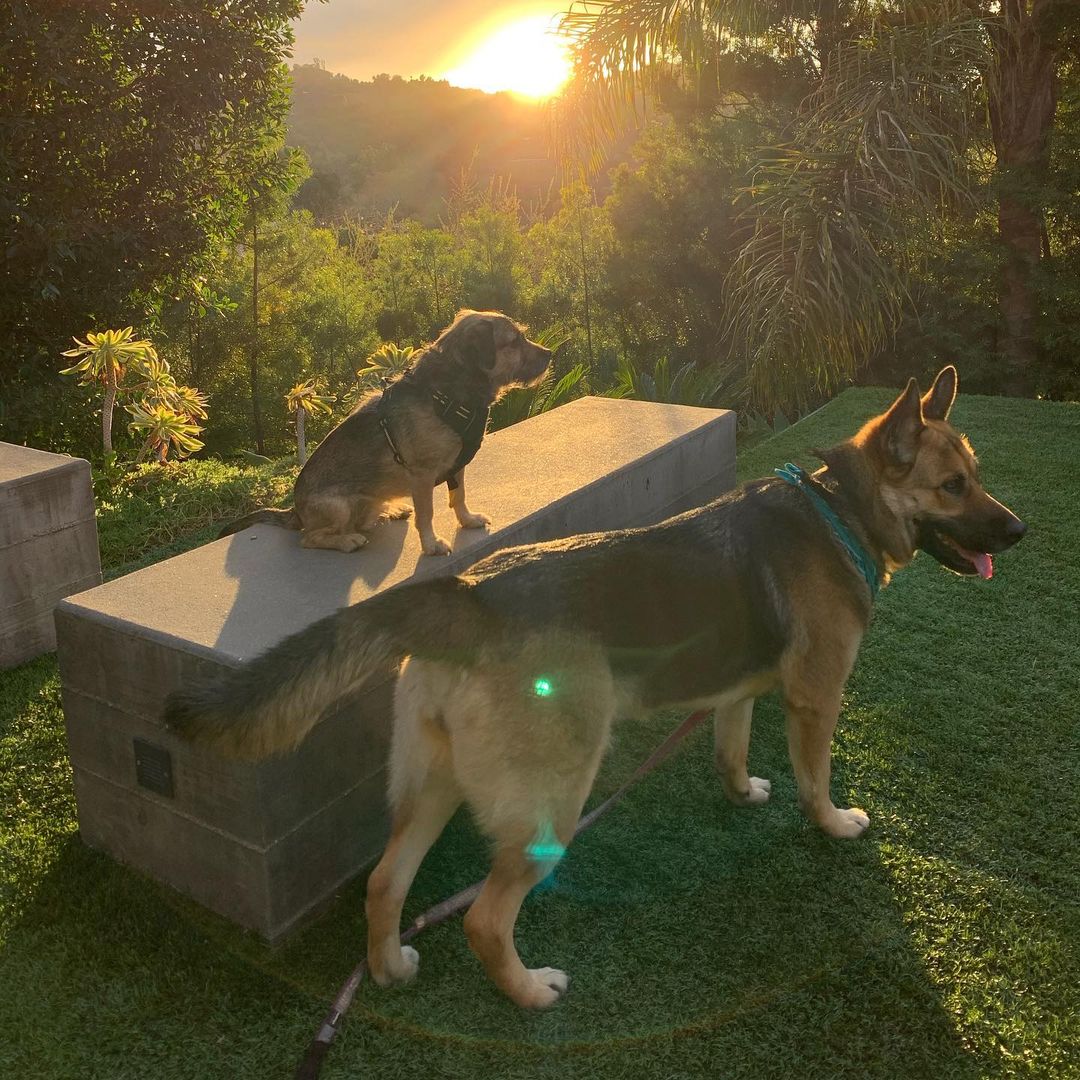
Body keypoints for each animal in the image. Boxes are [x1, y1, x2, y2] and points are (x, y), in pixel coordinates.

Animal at [167, 367, 1025, 1009]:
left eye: (976, 478)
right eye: (953, 486)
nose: (1020, 533)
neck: (839, 507)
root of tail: (470, 596)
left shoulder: (736, 694)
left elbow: (730, 751)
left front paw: (742, 792)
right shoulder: (815, 700)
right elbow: (816, 781)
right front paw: (835, 825)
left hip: (434, 784)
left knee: (384, 884)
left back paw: (389, 969)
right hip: (554, 795)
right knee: (484, 919)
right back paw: (529, 992)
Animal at [219, 310, 552, 555]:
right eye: (516, 340)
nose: (549, 353)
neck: (446, 392)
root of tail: (295, 511)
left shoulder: (458, 467)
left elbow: (458, 496)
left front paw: (467, 520)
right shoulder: (421, 474)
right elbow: (427, 513)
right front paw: (431, 545)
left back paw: (388, 512)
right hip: (337, 507)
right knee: (310, 538)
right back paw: (346, 540)